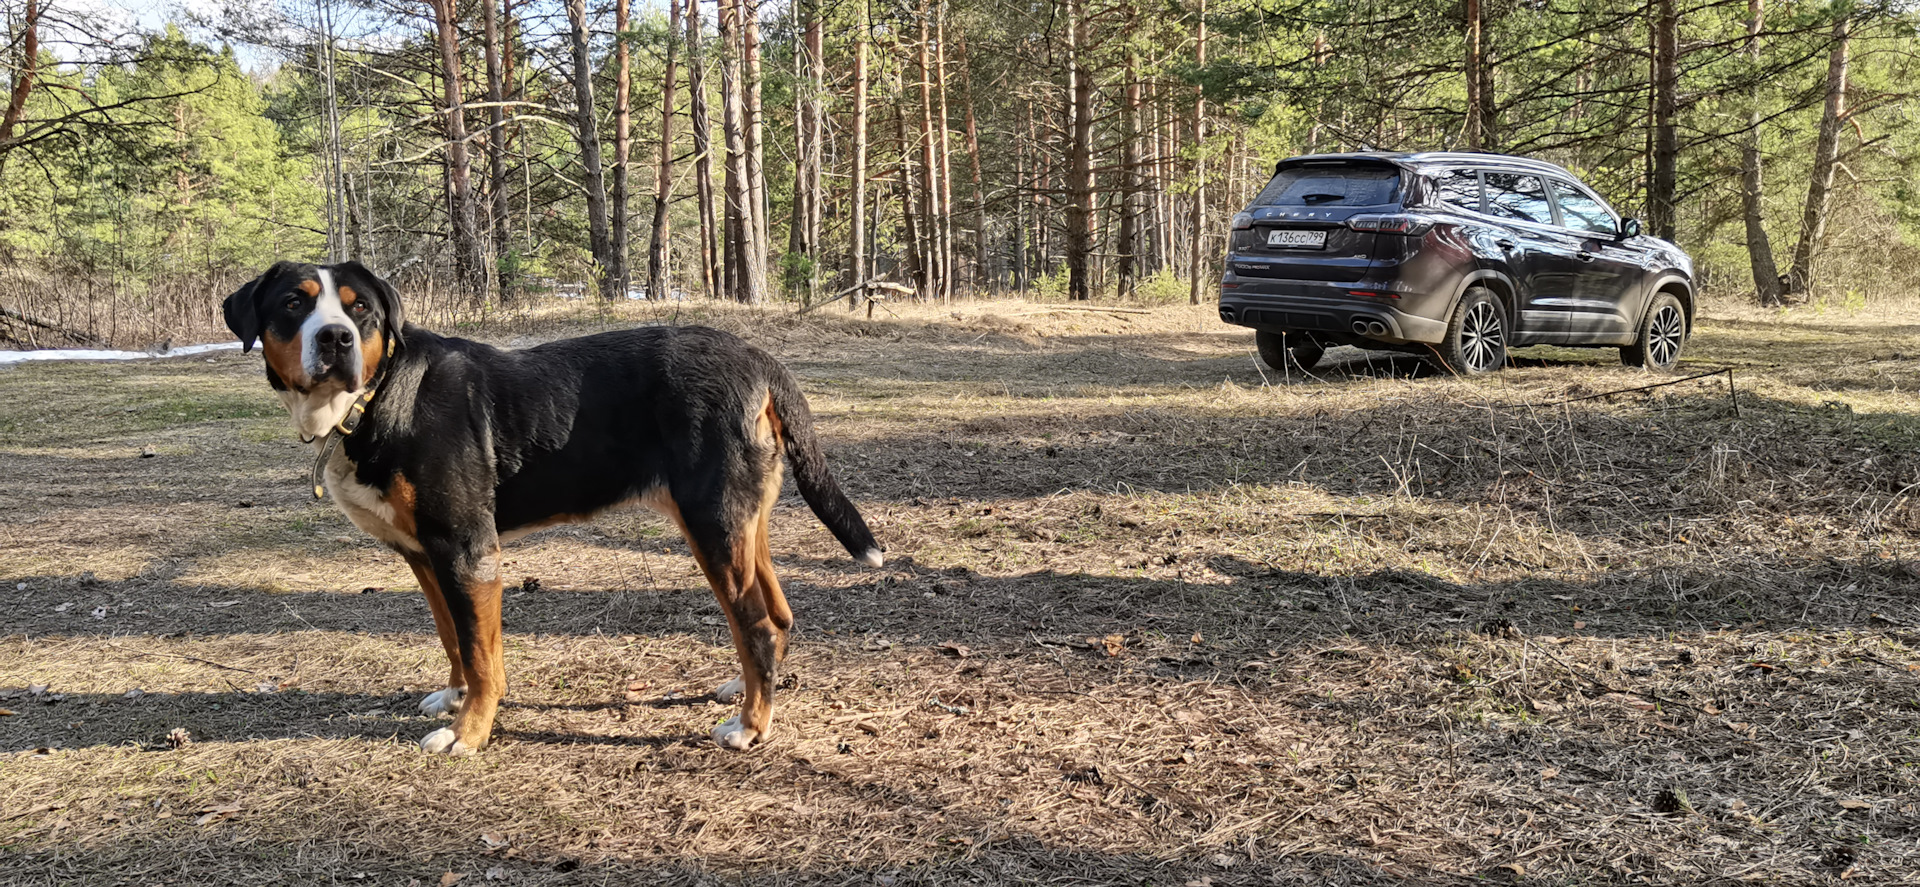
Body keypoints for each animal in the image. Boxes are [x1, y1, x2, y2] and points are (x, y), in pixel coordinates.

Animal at [220, 259, 879, 752]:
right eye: (294, 304)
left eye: (360, 310)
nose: (335, 338)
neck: (377, 400)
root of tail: (755, 357)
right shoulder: (426, 555)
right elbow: (452, 636)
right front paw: (454, 697)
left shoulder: (468, 551)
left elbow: (483, 656)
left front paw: (469, 732)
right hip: (738, 524)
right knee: (776, 615)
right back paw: (742, 692)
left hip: (712, 525)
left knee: (758, 626)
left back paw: (750, 727)